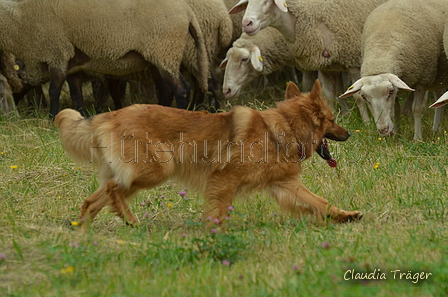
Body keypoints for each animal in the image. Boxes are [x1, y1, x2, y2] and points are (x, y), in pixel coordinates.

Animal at [0, 0, 209, 117]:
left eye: (14, 80)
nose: (14, 105)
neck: (22, 20)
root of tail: (188, 12)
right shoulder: (71, 64)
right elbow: (76, 93)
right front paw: (81, 115)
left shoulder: (57, 53)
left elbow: (54, 90)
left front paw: (51, 118)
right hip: (158, 58)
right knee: (166, 90)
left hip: (166, 51)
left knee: (181, 89)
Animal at [56, 80, 364, 228]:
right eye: (333, 119)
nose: (350, 134)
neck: (283, 128)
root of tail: (109, 115)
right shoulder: (224, 180)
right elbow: (219, 212)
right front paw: (216, 235)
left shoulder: (285, 185)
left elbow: (320, 202)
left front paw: (346, 215)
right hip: (158, 169)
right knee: (111, 189)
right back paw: (130, 220)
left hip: (135, 175)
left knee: (94, 200)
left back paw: (84, 234)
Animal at [229, 0, 386, 122]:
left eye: (267, 1)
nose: (246, 23)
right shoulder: (327, 66)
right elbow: (328, 95)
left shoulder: (352, 61)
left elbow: (358, 97)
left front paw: (366, 123)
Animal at [340, 0, 448, 140]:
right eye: (363, 96)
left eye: (390, 92)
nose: (383, 130)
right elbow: (396, 109)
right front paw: (397, 135)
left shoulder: (423, 78)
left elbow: (417, 108)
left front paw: (417, 138)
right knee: (439, 94)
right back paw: (437, 129)